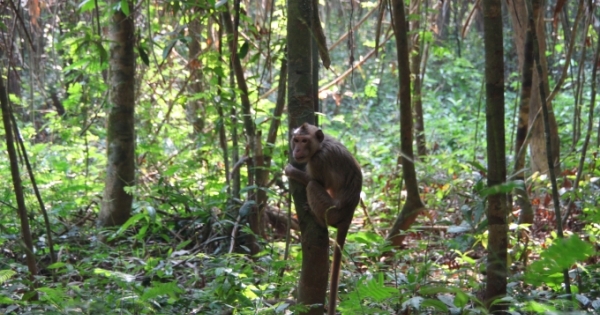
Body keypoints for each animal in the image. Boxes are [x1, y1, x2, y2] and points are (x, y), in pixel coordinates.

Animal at [284, 123, 364, 315]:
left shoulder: (318, 161)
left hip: (331, 211)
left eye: (304, 141)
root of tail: (349, 215)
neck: (320, 146)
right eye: (296, 140)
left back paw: (317, 218)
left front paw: (291, 171)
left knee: (313, 185)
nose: (297, 150)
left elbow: (318, 182)